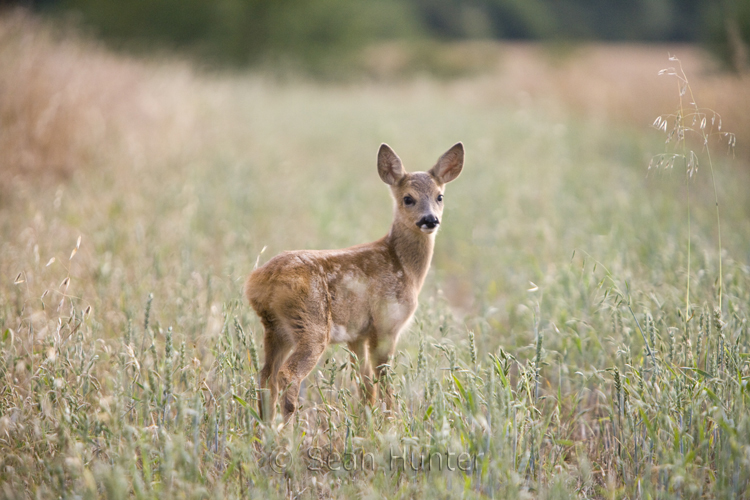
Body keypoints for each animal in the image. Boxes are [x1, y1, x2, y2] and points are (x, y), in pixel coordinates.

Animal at [247, 143, 464, 420]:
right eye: (408, 198)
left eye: (439, 196)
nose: (430, 220)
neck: (403, 266)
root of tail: (263, 280)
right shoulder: (386, 323)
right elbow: (383, 379)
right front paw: (392, 420)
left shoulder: (357, 335)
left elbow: (365, 383)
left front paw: (367, 420)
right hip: (312, 324)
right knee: (287, 374)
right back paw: (288, 428)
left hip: (276, 329)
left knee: (265, 376)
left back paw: (266, 426)